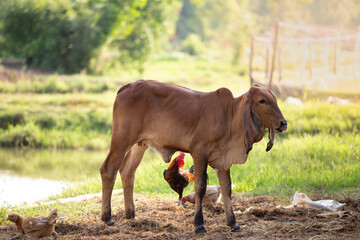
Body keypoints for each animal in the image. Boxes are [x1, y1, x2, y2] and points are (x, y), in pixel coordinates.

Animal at [99, 80, 286, 232]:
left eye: (275, 100)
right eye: (262, 101)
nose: (283, 123)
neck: (229, 115)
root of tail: (128, 86)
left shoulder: (223, 161)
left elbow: (227, 188)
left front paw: (233, 223)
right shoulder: (199, 153)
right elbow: (200, 188)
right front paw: (199, 224)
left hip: (140, 144)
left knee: (127, 172)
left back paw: (130, 214)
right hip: (121, 139)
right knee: (108, 169)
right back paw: (107, 217)